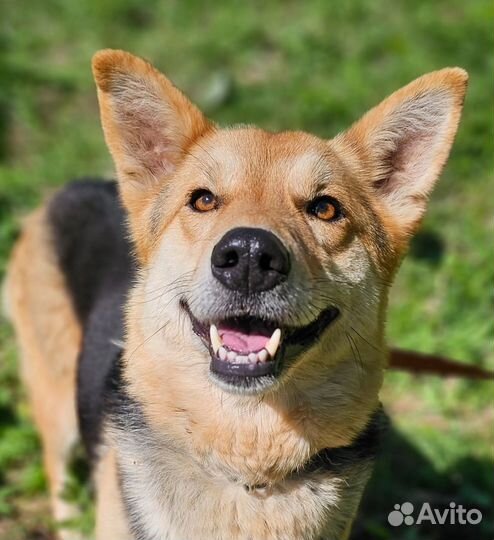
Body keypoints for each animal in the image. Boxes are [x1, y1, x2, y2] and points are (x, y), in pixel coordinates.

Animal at [2, 48, 466, 536]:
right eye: (203, 199)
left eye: (325, 208)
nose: (248, 256)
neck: (247, 457)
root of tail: (73, 187)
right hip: (56, 402)